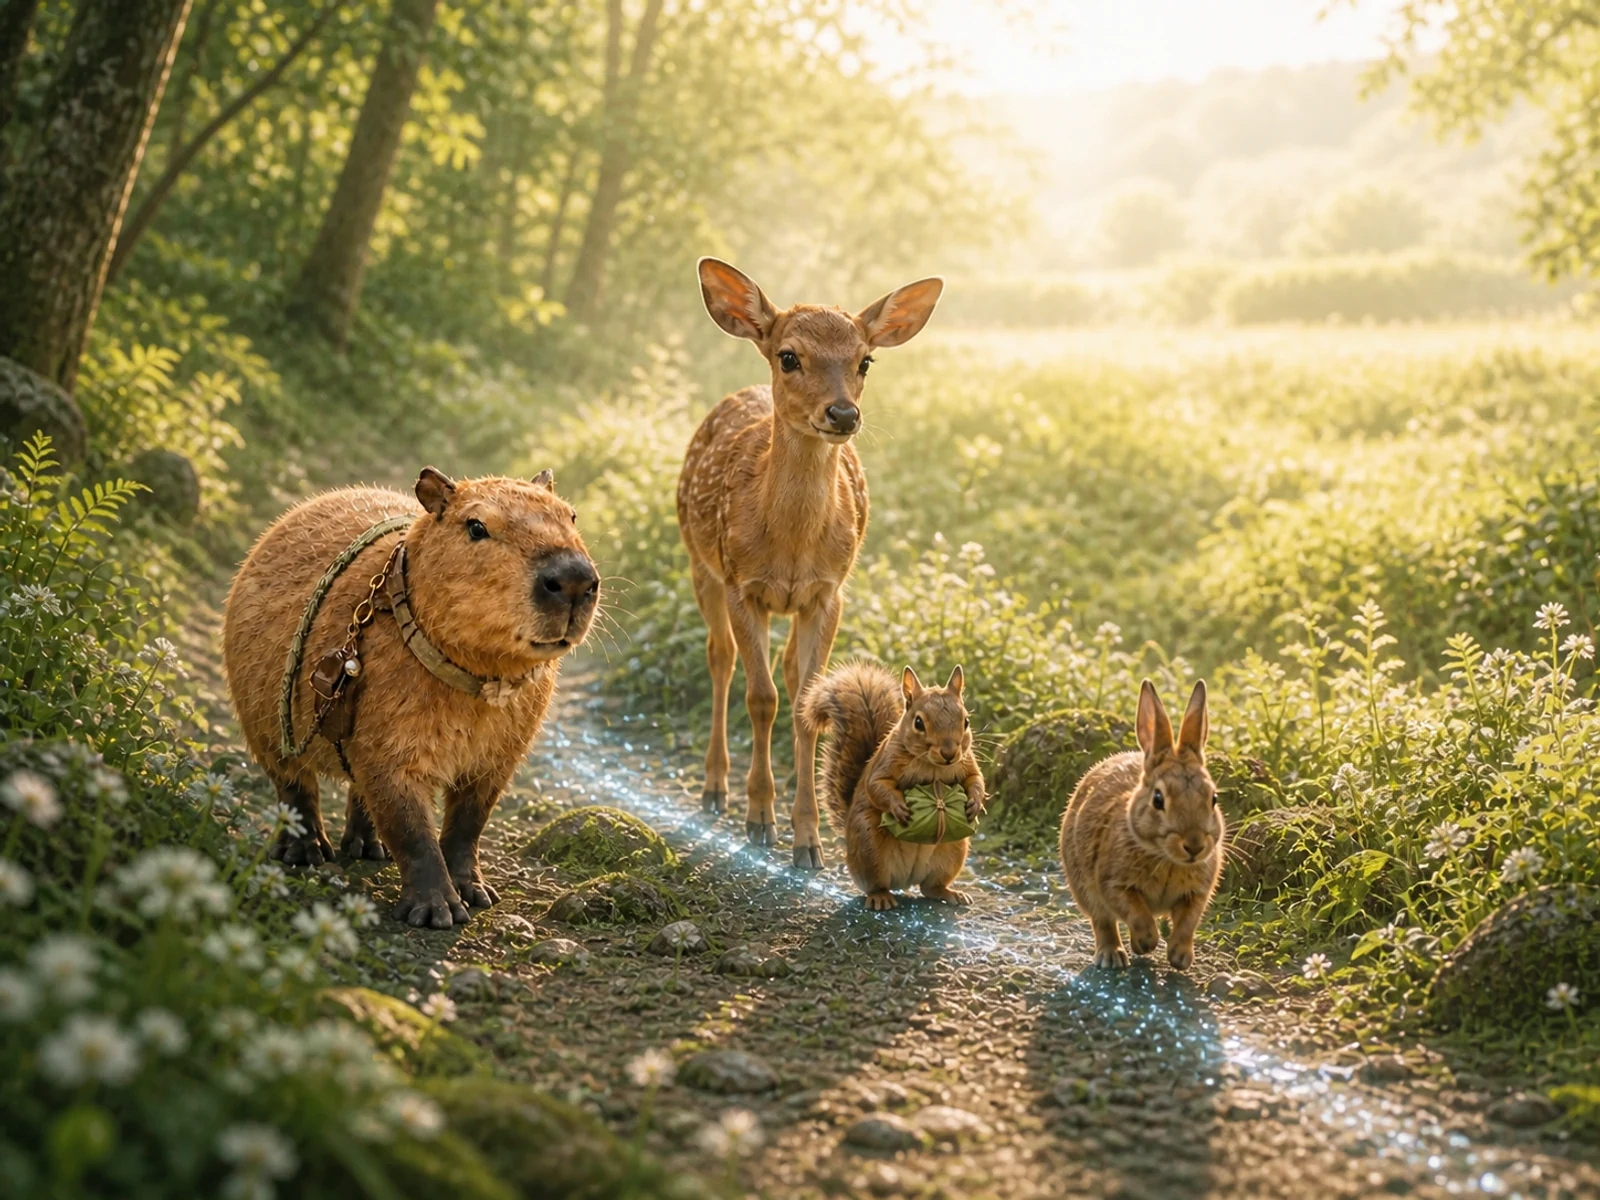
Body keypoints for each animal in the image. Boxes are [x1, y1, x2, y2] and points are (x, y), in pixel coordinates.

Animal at [677, 258, 943, 868]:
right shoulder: (742, 583)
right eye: (789, 356)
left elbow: (804, 704)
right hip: (701, 564)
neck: (791, 545)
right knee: (721, 658)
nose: (843, 413)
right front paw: (759, 819)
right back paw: (714, 787)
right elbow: (761, 698)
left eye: (865, 360)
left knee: (787, 672)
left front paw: (808, 839)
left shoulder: (828, 592)